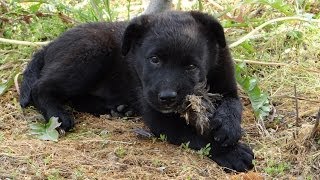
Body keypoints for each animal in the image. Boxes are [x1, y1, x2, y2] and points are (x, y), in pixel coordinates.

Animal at [20, 10, 255, 172]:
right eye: (154, 59)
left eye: (191, 66)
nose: (167, 98)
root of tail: (49, 46)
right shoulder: (158, 117)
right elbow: (194, 135)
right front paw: (232, 153)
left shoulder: (228, 87)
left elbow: (234, 104)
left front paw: (228, 127)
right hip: (89, 53)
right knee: (41, 88)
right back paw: (58, 115)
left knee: (76, 98)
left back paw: (116, 109)